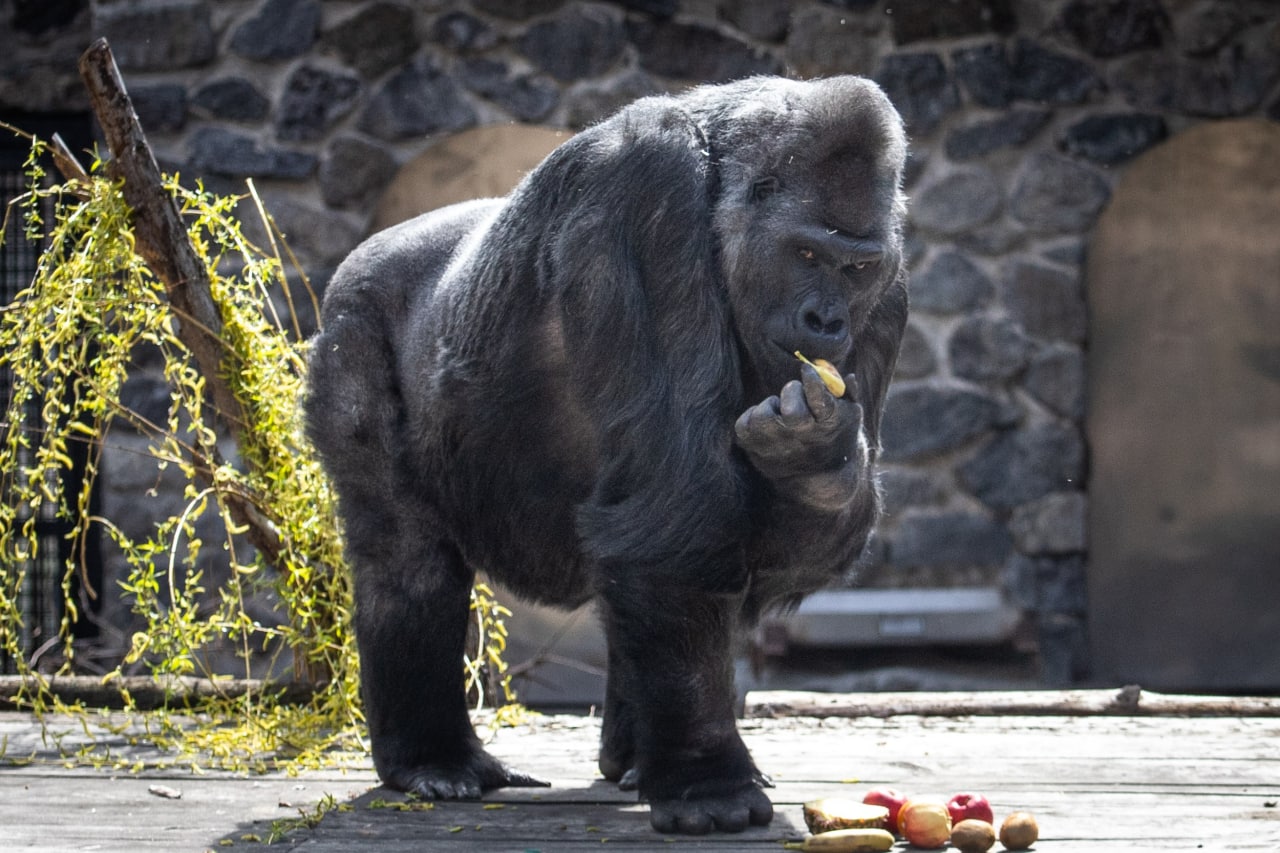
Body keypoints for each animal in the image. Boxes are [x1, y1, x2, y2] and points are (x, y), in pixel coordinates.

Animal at [303, 73, 911, 829]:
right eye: (806, 255)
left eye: (856, 268)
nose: (826, 321)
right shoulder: (645, 189)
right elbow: (676, 507)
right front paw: (707, 783)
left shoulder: (889, 289)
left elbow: (761, 541)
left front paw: (815, 458)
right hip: (352, 318)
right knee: (404, 555)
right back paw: (433, 757)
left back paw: (631, 759)